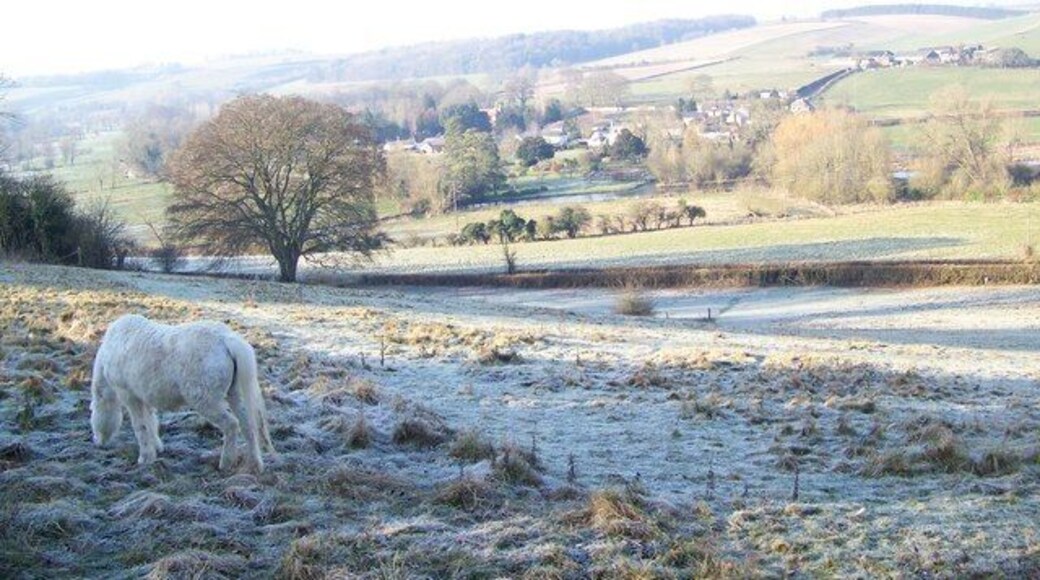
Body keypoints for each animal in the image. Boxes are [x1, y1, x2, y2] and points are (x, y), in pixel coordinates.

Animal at [90, 314, 275, 473]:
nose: (98, 442)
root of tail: (226, 340)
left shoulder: (129, 395)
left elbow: (140, 426)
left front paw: (145, 458)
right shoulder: (144, 396)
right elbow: (150, 422)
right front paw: (156, 448)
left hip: (205, 399)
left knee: (231, 424)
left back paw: (226, 463)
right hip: (233, 392)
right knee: (248, 425)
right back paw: (255, 465)